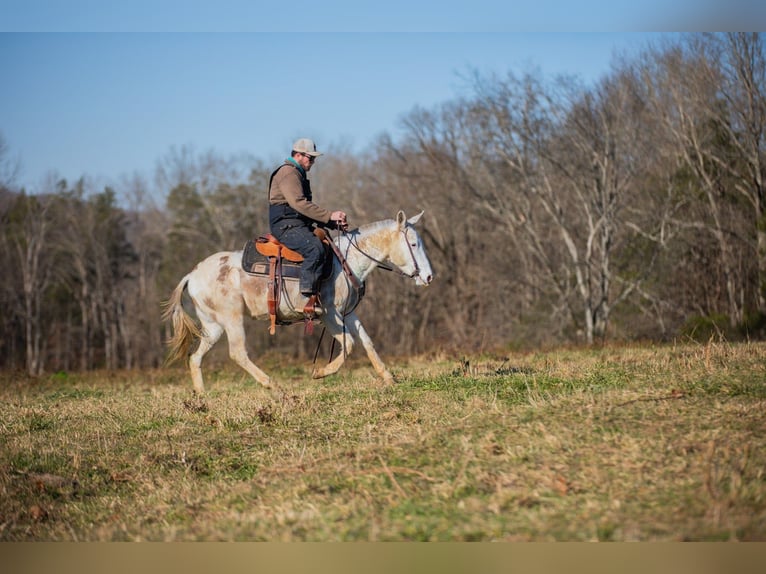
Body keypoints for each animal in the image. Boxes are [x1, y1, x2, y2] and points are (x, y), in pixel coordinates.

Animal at [162, 210, 433, 393]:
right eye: (413, 243)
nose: (429, 277)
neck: (345, 261)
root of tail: (192, 275)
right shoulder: (330, 314)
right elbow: (349, 344)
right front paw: (320, 372)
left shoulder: (347, 314)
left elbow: (366, 342)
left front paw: (388, 378)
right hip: (232, 320)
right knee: (238, 353)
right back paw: (274, 387)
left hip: (213, 327)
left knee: (195, 357)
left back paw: (202, 397)